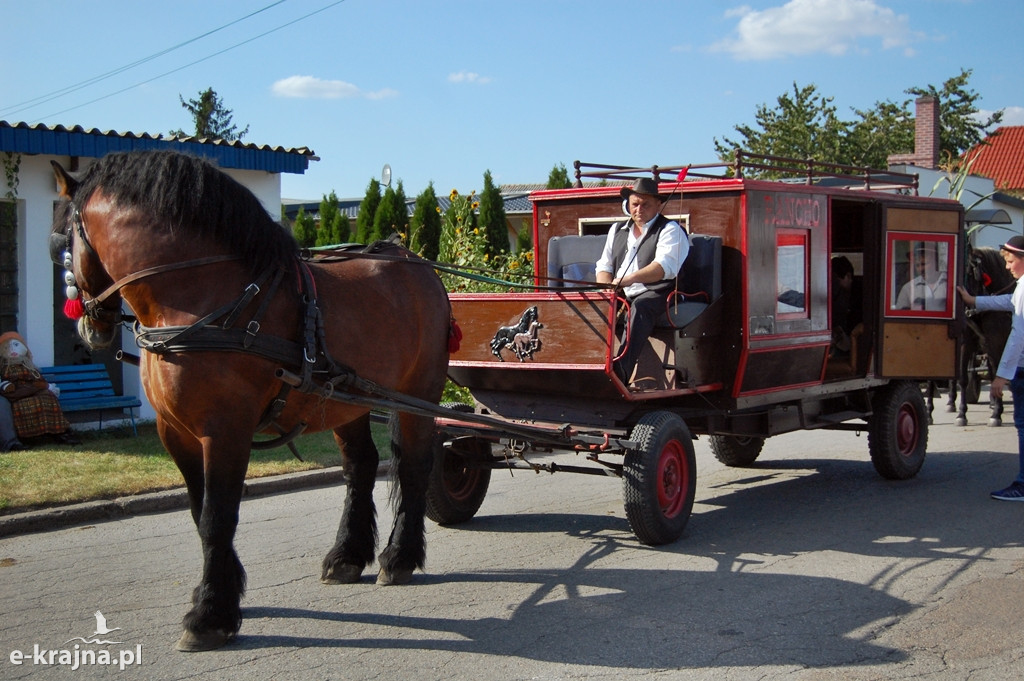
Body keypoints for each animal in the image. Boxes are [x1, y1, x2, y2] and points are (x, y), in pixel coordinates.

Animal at [48, 151, 452, 651]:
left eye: (59, 242)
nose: (89, 326)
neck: (203, 297)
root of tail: (414, 262)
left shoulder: (225, 431)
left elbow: (217, 515)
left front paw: (209, 614)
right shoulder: (175, 432)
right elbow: (199, 512)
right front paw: (220, 592)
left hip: (419, 393)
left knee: (414, 464)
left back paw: (399, 557)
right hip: (346, 398)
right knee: (360, 467)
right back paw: (346, 555)